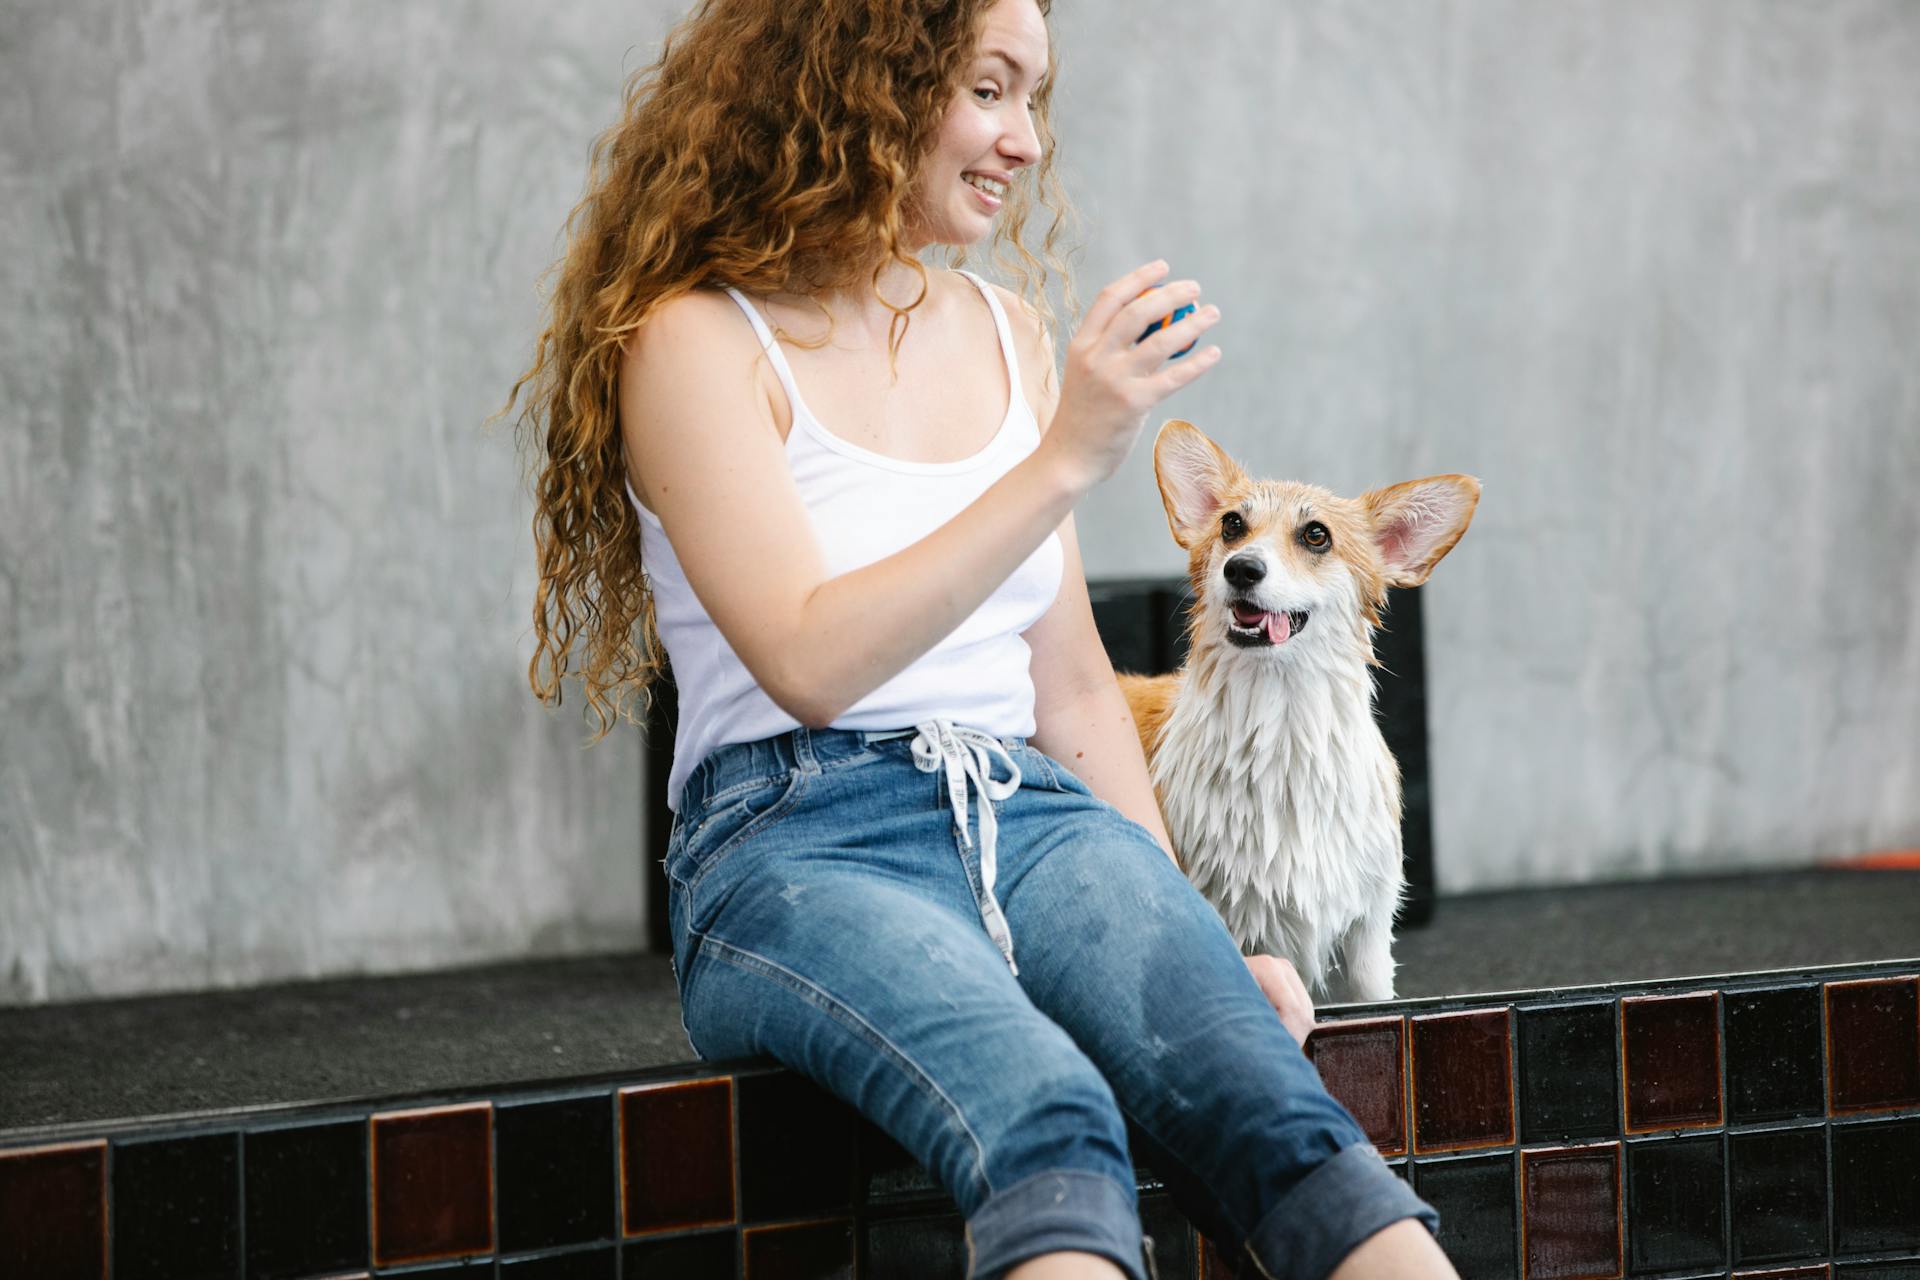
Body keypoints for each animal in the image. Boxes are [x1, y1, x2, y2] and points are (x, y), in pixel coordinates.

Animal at [1121, 420, 1474, 997]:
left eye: (1316, 536)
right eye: (1232, 525)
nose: (1241, 568)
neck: (1280, 724)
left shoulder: (1370, 931)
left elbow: (1374, 992)